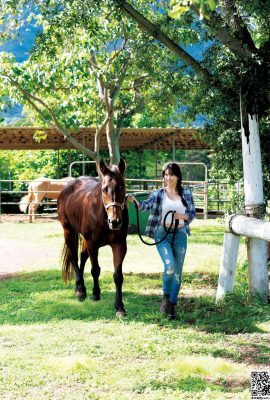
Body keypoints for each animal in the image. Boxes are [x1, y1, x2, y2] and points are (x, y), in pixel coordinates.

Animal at [57, 158, 129, 318]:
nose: (115, 222)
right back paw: (80, 290)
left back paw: (79, 286)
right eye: (104, 189)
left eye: (122, 186)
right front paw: (95, 293)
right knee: (74, 257)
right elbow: (95, 269)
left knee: (82, 257)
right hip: (68, 231)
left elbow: (118, 276)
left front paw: (119, 307)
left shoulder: (120, 245)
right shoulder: (92, 244)